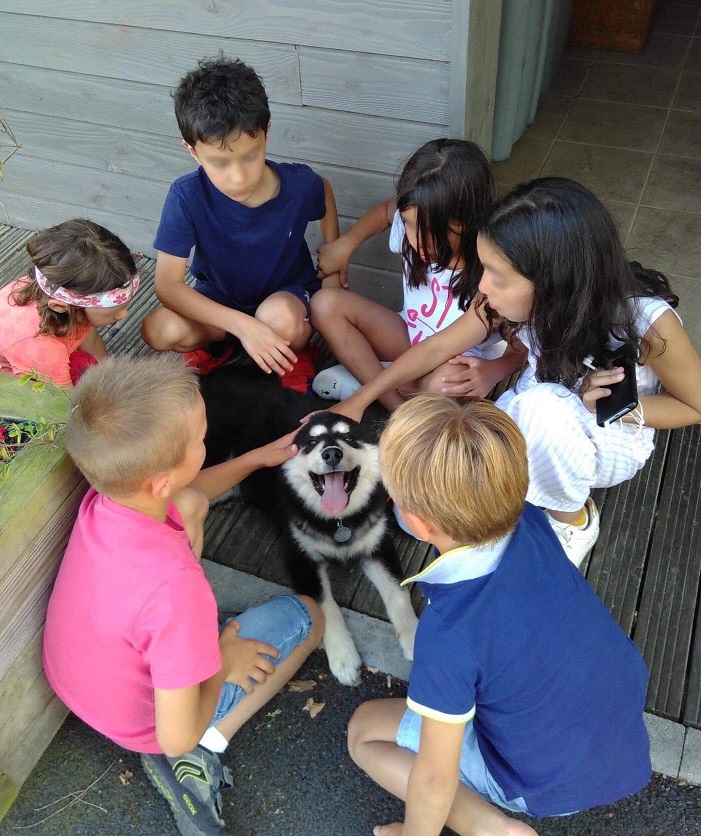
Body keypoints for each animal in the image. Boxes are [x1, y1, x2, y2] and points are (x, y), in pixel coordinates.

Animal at [198, 370, 416, 684]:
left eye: (349, 438)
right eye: (310, 443)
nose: (332, 453)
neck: (339, 522)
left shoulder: (377, 544)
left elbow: (398, 592)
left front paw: (415, 637)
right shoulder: (300, 556)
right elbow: (325, 607)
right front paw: (343, 657)